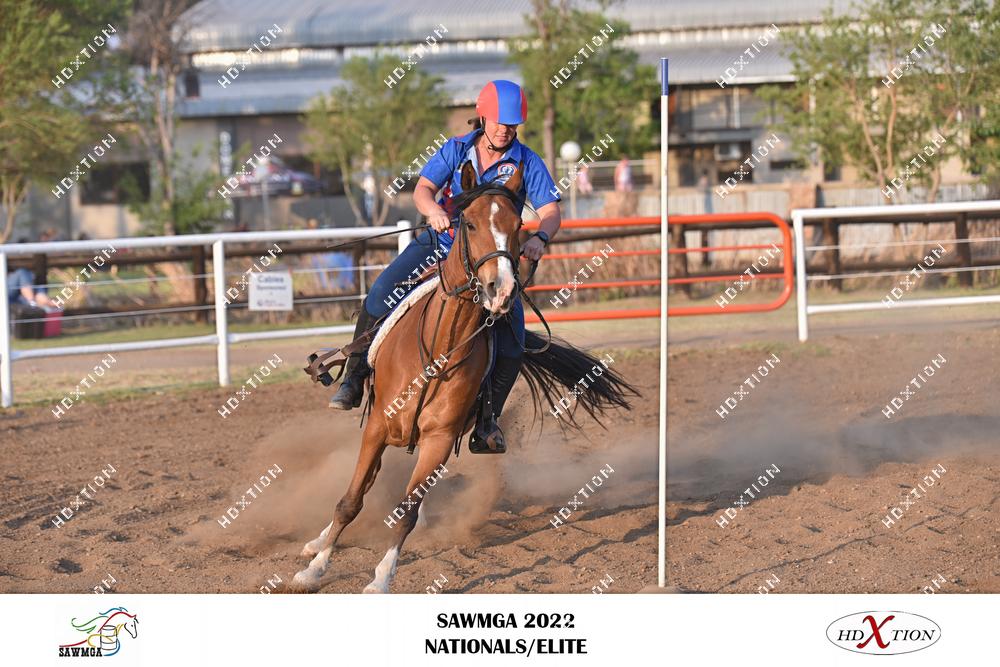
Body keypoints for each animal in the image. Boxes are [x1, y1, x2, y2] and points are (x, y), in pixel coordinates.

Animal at [293, 161, 636, 593]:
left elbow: (406, 511)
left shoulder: (439, 441)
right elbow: (350, 500)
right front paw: (315, 569)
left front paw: (383, 577)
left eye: (518, 226)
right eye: (469, 224)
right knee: (362, 487)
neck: (440, 347)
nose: (500, 289)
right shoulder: (376, 427)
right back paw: (316, 541)